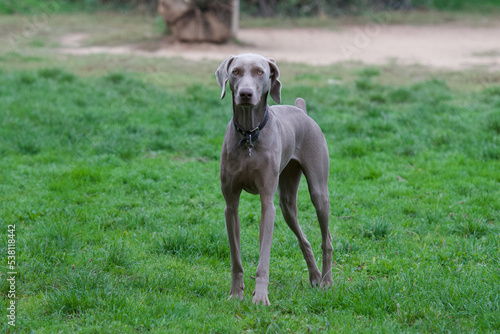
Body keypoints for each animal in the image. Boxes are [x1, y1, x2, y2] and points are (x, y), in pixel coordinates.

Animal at [215, 52, 332, 306]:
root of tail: (301, 110)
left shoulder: (267, 203)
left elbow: (264, 257)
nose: (245, 94)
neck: (250, 135)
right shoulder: (231, 205)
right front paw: (236, 294)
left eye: (260, 72)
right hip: (287, 203)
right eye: (235, 71)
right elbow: (236, 258)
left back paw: (327, 281)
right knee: (303, 238)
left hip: (319, 192)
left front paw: (260, 298)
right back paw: (315, 276)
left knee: (326, 238)